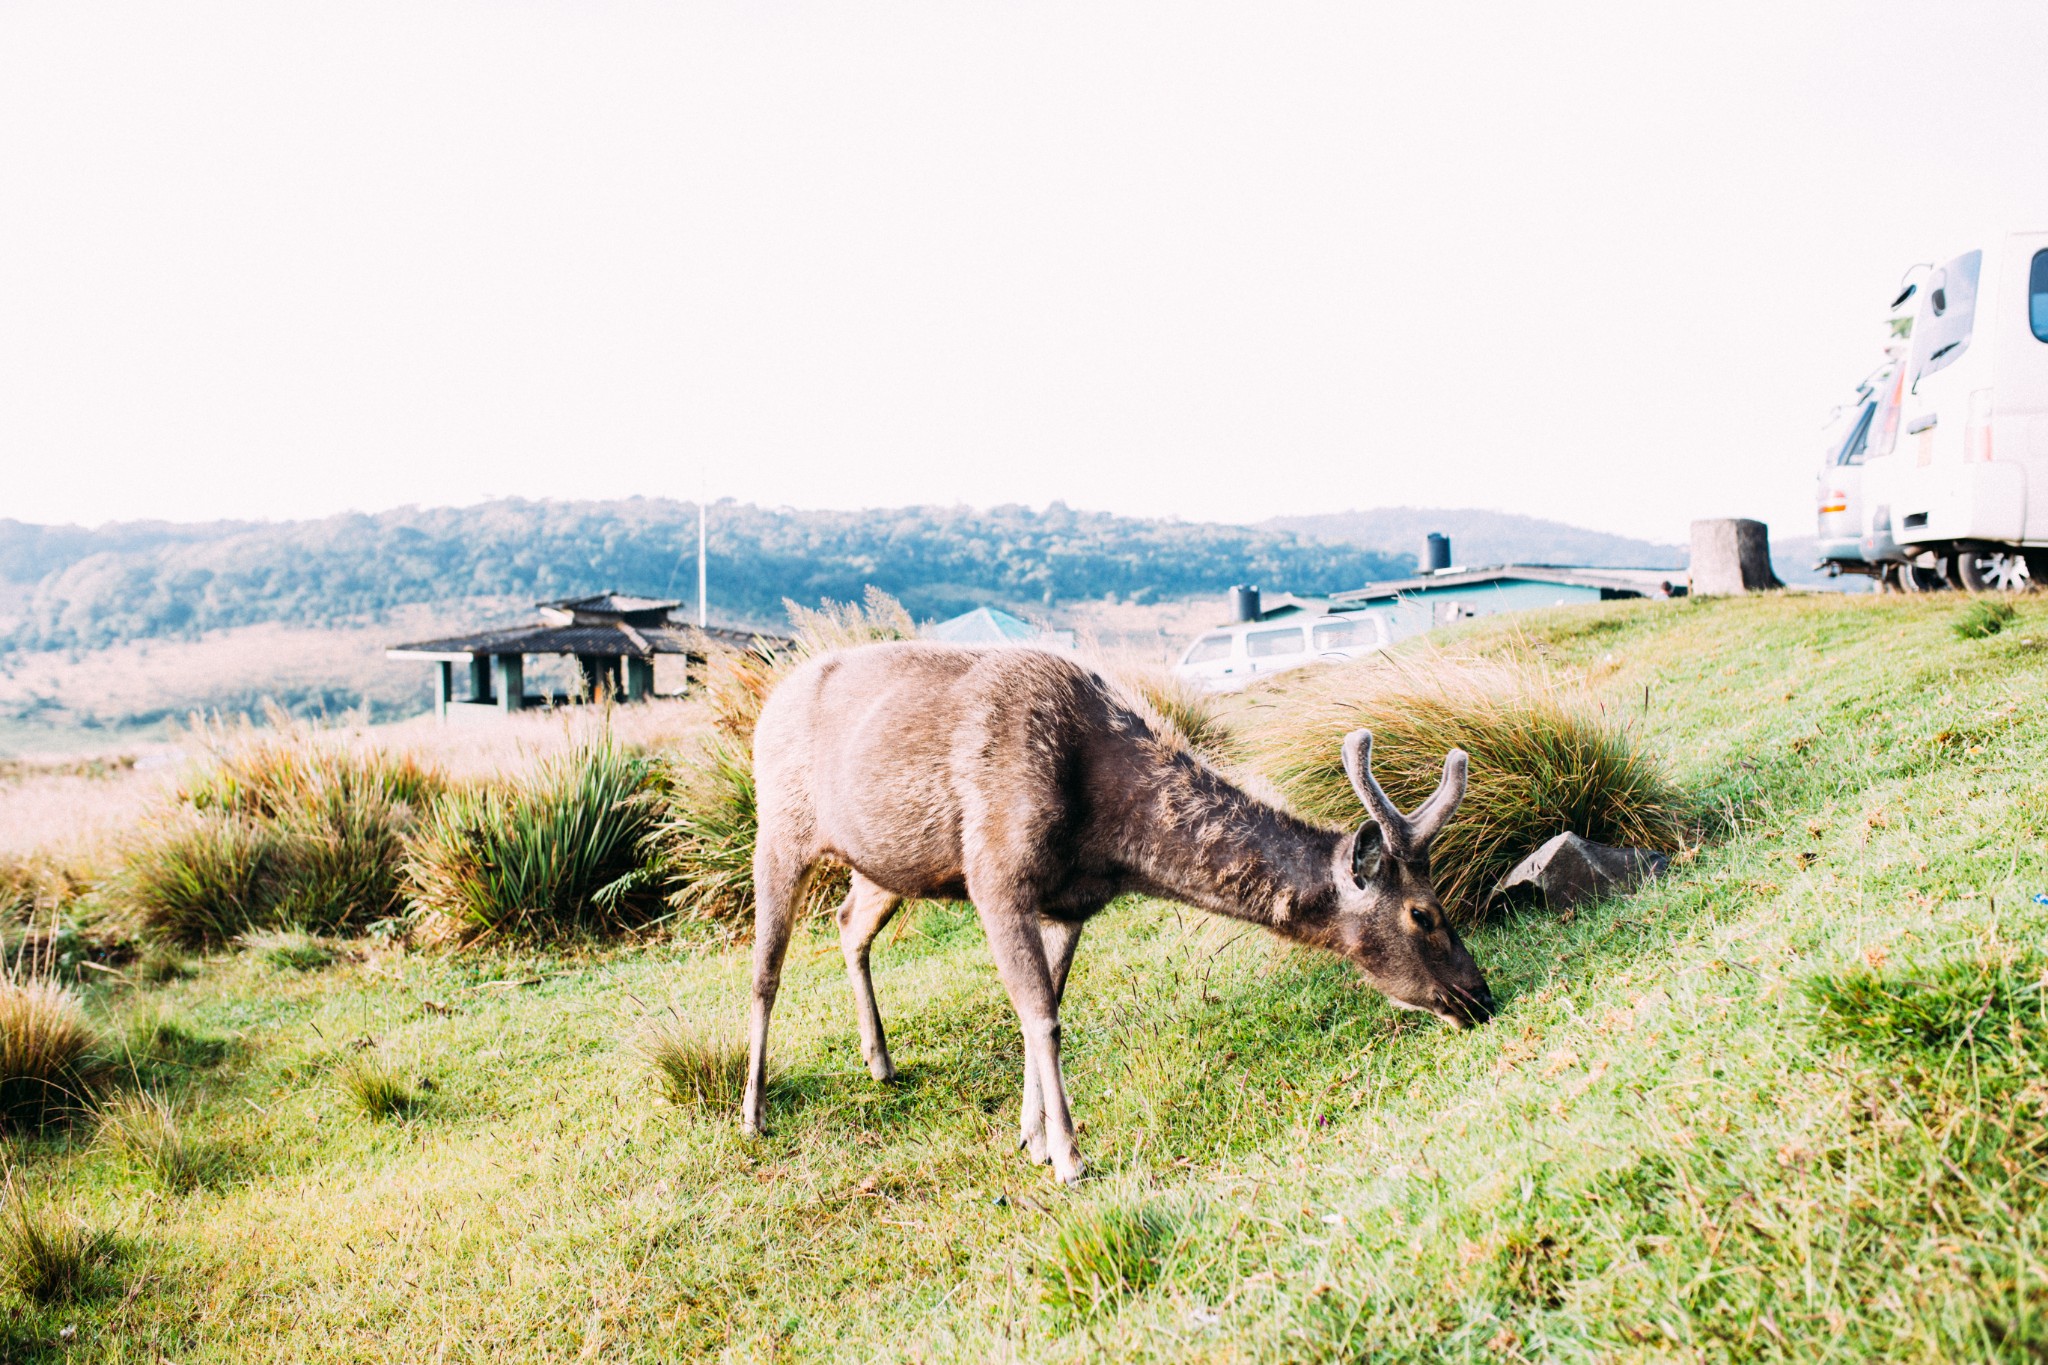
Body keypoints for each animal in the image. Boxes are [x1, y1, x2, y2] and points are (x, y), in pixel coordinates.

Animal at [737, 642, 1490, 1186]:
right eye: (1423, 913)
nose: (1480, 997)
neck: (1109, 835)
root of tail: (766, 707)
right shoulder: (994, 873)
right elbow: (1041, 1014)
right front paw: (1069, 1157)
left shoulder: (1070, 904)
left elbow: (1042, 1007)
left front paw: (1033, 1136)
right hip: (778, 828)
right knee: (765, 972)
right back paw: (753, 1111)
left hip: (886, 865)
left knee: (847, 921)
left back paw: (881, 1060)